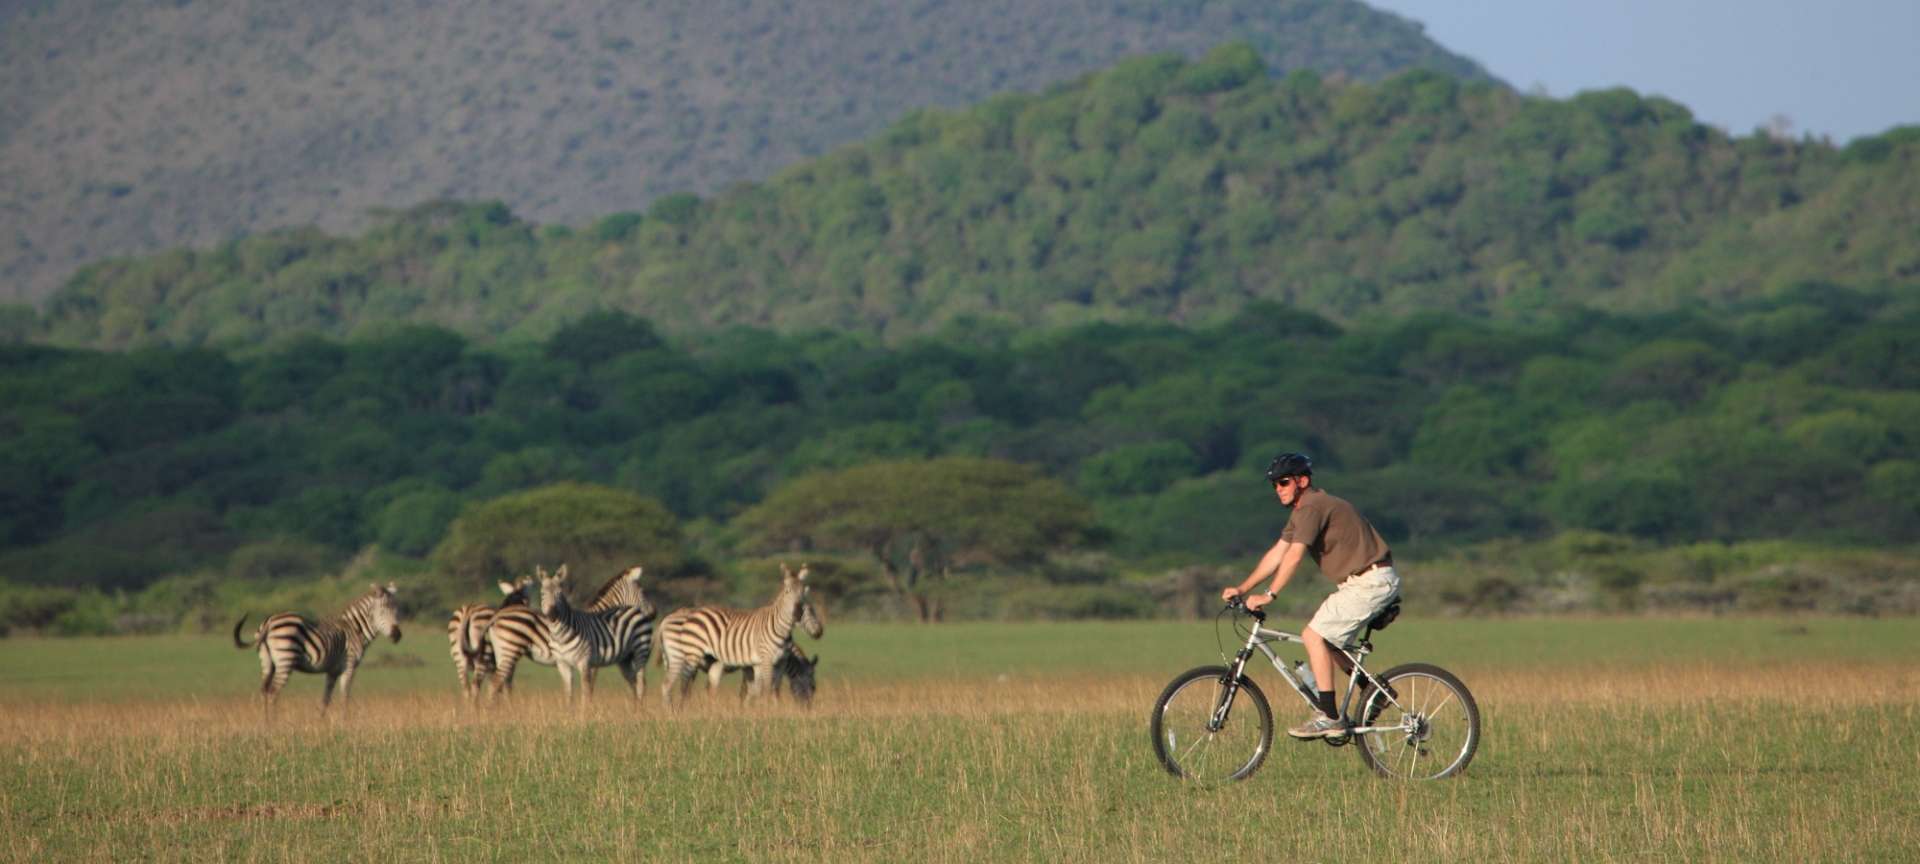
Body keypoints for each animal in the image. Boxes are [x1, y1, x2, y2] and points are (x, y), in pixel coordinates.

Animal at [237, 579, 408, 714]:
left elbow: (325, 699)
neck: (355, 629)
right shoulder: (349, 665)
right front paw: (345, 722)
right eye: (383, 611)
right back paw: (274, 725)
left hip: (267, 662)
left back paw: (265, 725)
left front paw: (322, 722)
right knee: (273, 692)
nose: (397, 635)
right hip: (285, 658)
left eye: (397, 610)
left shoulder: (332, 671)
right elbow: (345, 696)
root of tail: (269, 622)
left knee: (264, 691)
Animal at [447, 572, 533, 702]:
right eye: (527, 600)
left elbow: (496, 688)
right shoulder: (508, 659)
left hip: (459, 656)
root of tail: (468, 610)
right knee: (475, 686)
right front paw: (508, 705)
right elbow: (506, 687)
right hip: (484, 655)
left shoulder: (494, 668)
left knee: (466, 689)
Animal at [660, 564, 825, 706]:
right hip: (682, 656)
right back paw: (677, 711)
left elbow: (759, 690)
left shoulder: (756, 666)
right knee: (674, 685)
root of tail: (666, 619)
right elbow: (758, 690)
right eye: (812, 686)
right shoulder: (757, 664)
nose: (819, 632)